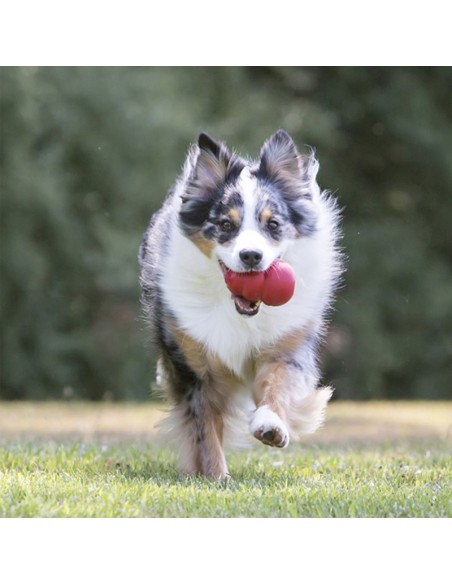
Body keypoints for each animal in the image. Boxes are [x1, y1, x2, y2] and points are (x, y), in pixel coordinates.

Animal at [139, 132, 340, 480]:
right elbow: (205, 429)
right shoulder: (196, 369)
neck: (237, 309)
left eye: (273, 224)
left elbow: (276, 385)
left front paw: (271, 426)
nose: (251, 256)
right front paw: (217, 477)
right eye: (225, 225)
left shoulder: (285, 347)